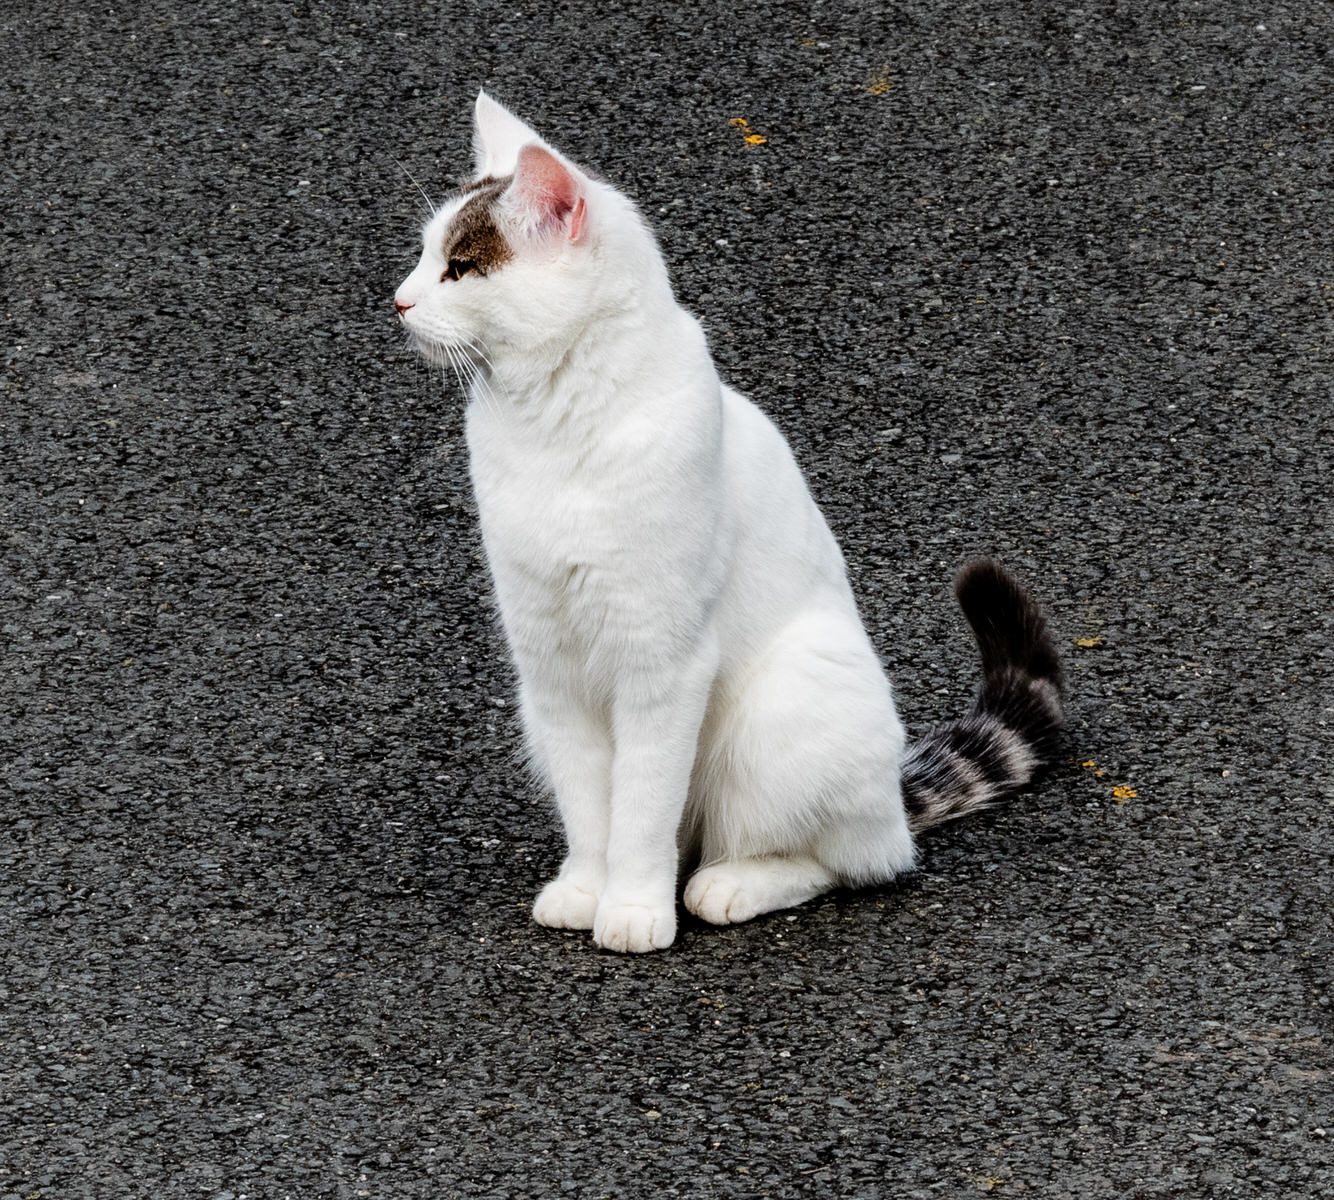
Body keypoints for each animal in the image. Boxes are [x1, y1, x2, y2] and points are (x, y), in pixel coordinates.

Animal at [394, 94, 1061, 949]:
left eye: (462, 269)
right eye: (425, 256)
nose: (400, 299)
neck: (549, 424)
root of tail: (893, 792)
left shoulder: (662, 659)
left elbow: (642, 807)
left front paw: (633, 910)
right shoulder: (550, 664)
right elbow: (591, 806)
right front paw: (587, 889)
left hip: (783, 709)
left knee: (848, 858)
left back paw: (729, 884)